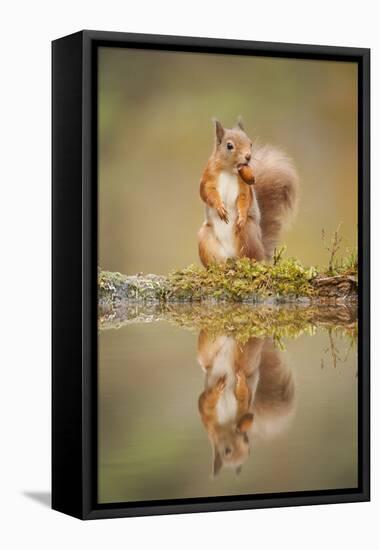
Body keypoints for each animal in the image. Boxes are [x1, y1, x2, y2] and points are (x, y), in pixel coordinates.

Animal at [199, 119, 300, 268]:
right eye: (229, 145)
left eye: (250, 143)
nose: (248, 156)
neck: (230, 170)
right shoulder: (208, 177)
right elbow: (206, 193)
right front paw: (219, 208)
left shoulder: (245, 187)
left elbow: (244, 199)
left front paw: (241, 216)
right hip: (205, 239)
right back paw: (220, 266)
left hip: (248, 233)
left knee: (250, 256)